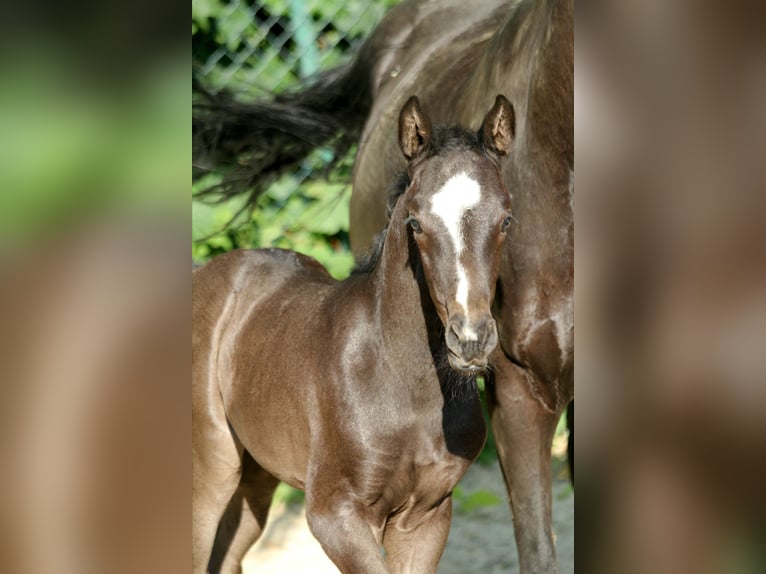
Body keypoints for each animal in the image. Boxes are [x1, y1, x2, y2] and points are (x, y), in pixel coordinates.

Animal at [195, 0, 572, 572]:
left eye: (507, 218)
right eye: (414, 222)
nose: (470, 340)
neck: (400, 381)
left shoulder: (427, 516)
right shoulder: (334, 514)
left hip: (255, 475)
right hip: (210, 472)